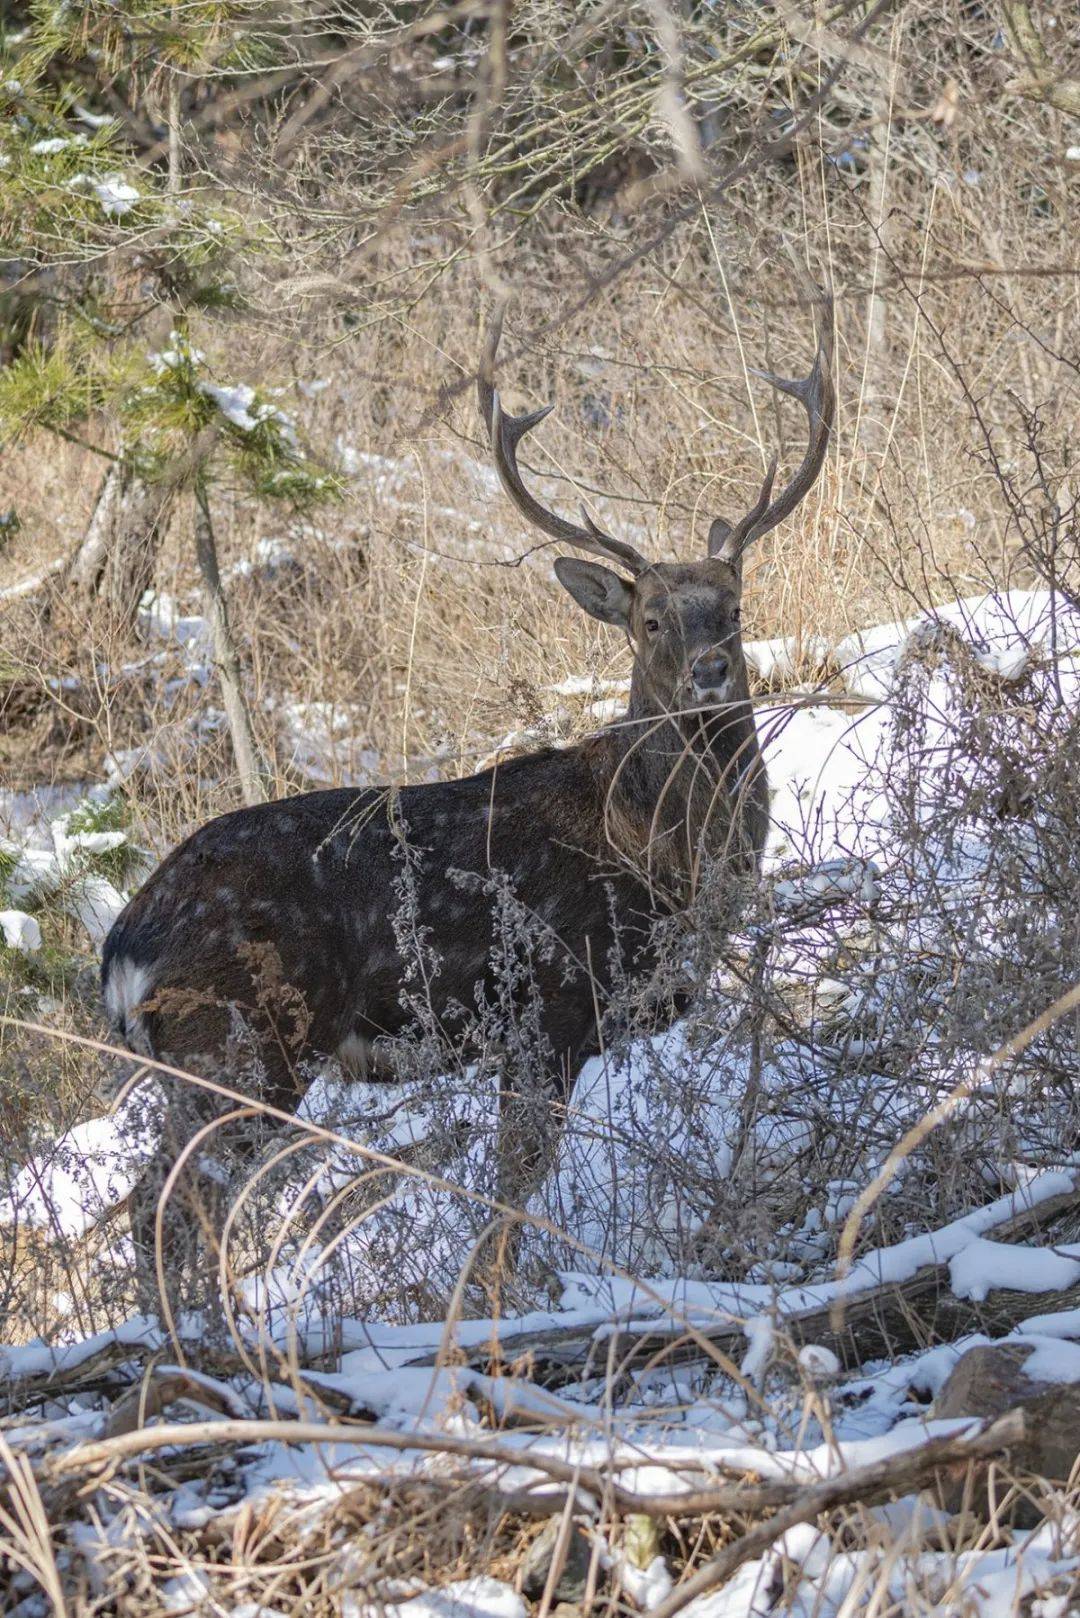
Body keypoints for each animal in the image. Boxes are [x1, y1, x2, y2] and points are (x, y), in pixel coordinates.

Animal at [101, 291, 835, 1300]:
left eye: (734, 610)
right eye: (651, 620)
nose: (711, 671)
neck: (659, 855)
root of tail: (122, 943)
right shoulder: (546, 1006)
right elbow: (514, 1185)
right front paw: (496, 1304)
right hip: (245, 1041)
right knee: (166, 1206)